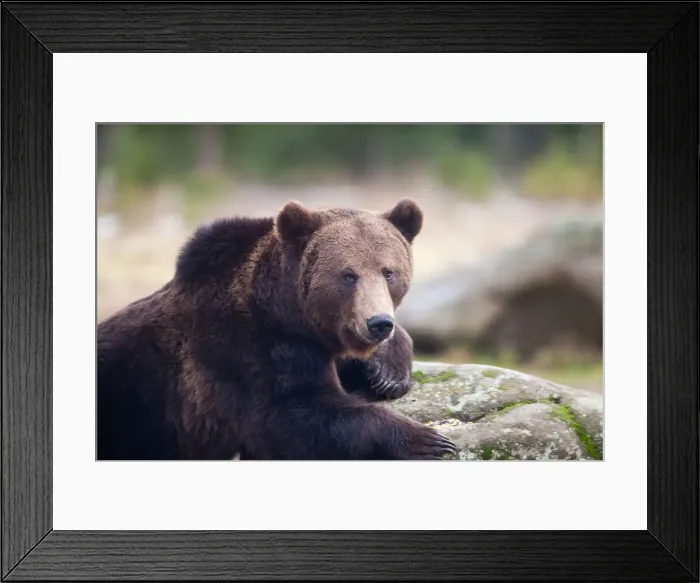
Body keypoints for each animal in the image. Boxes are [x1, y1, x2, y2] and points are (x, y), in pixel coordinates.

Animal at [97, 198, 456, 460]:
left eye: (388, 272)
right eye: (348, 275)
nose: (378, 322)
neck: (286, 312)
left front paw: (387, 373)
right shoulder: (246, 350)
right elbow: (289, 417)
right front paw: (428, 439)